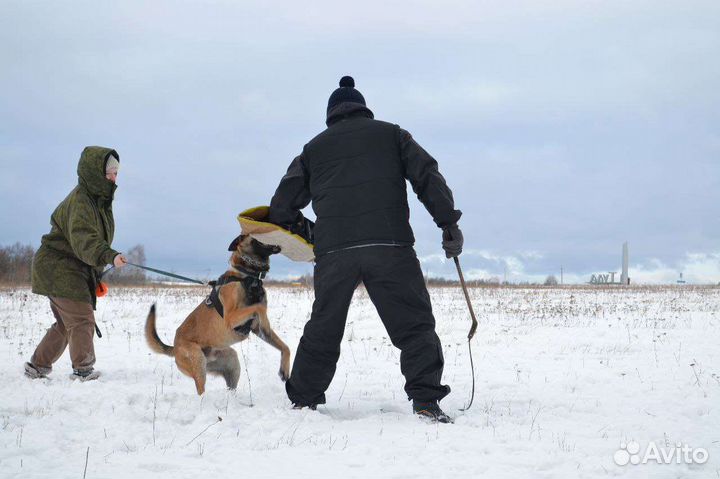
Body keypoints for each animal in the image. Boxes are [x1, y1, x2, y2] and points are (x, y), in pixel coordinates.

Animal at [145, 234, 292, 396]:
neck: (248, 276)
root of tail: (175, 347)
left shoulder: (256, 329)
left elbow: (285, 347)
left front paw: (284, 369)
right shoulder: (231, 318)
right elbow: (259, 307)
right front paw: (265, 319)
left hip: (232, 363)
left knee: (230, 388)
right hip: (198, 362)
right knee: (201, 391)